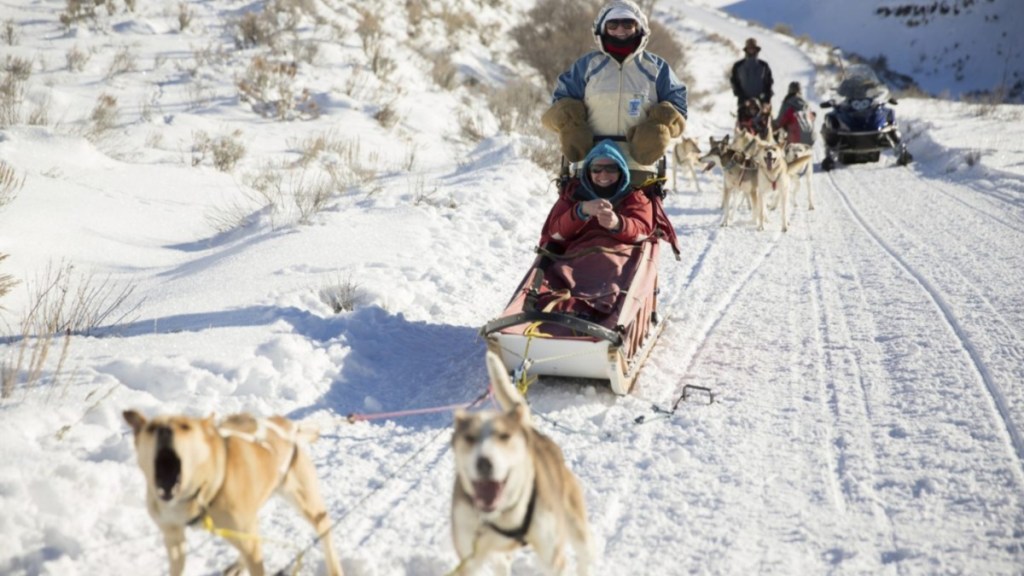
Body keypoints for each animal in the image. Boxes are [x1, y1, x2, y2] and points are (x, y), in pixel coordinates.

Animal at [121, 407, 346, 573]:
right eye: (152, 427)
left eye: (185, 427)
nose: (165, 430)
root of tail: (286, 426)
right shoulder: (173, 536)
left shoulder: (248, 542)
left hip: (308, 505)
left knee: (325, 530)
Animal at [450, 348, 593, 569]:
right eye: (469, 438)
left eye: (504, 436)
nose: (484, 462)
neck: (503, 516)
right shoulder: (469, 558)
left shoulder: (553, 558)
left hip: (576, 528)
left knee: (584, 555)